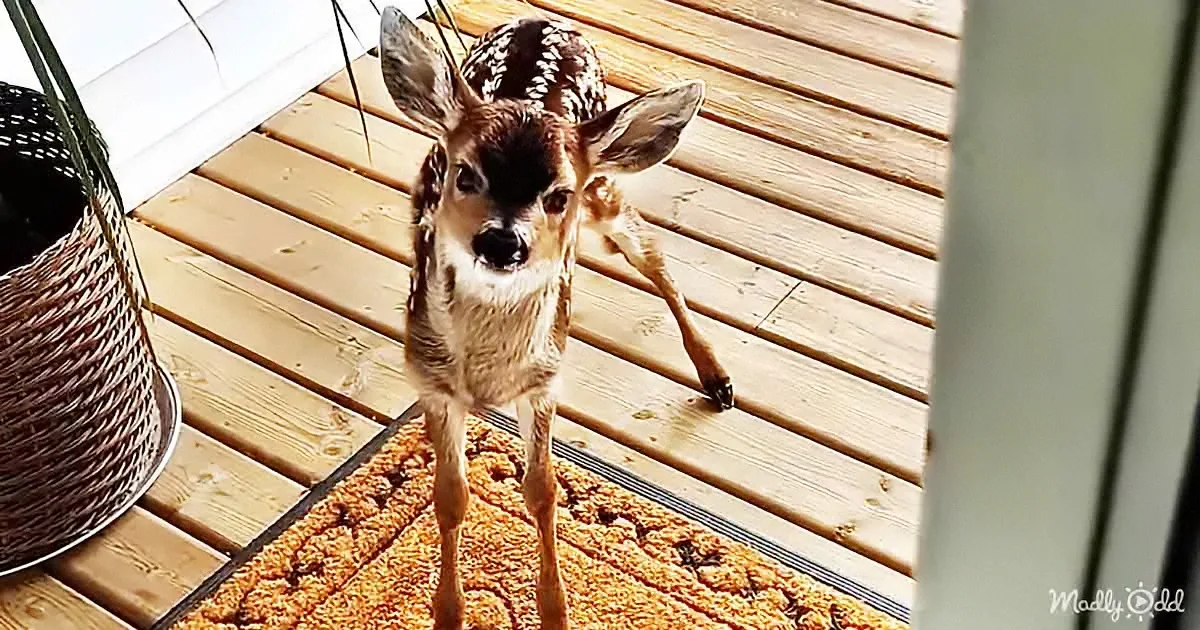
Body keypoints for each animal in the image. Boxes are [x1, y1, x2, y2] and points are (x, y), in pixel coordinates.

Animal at [378, 6, 733, 628]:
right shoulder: (429, 378)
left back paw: (716, 377)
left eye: (557, 194)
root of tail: (542, 18)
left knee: (653, 256)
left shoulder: (545, 379)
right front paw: (448, 611)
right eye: (465, 174)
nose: (502, 242)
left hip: (607, 189)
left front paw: (554, 610)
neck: (489, 375)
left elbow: (541, 490)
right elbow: (450, 495)